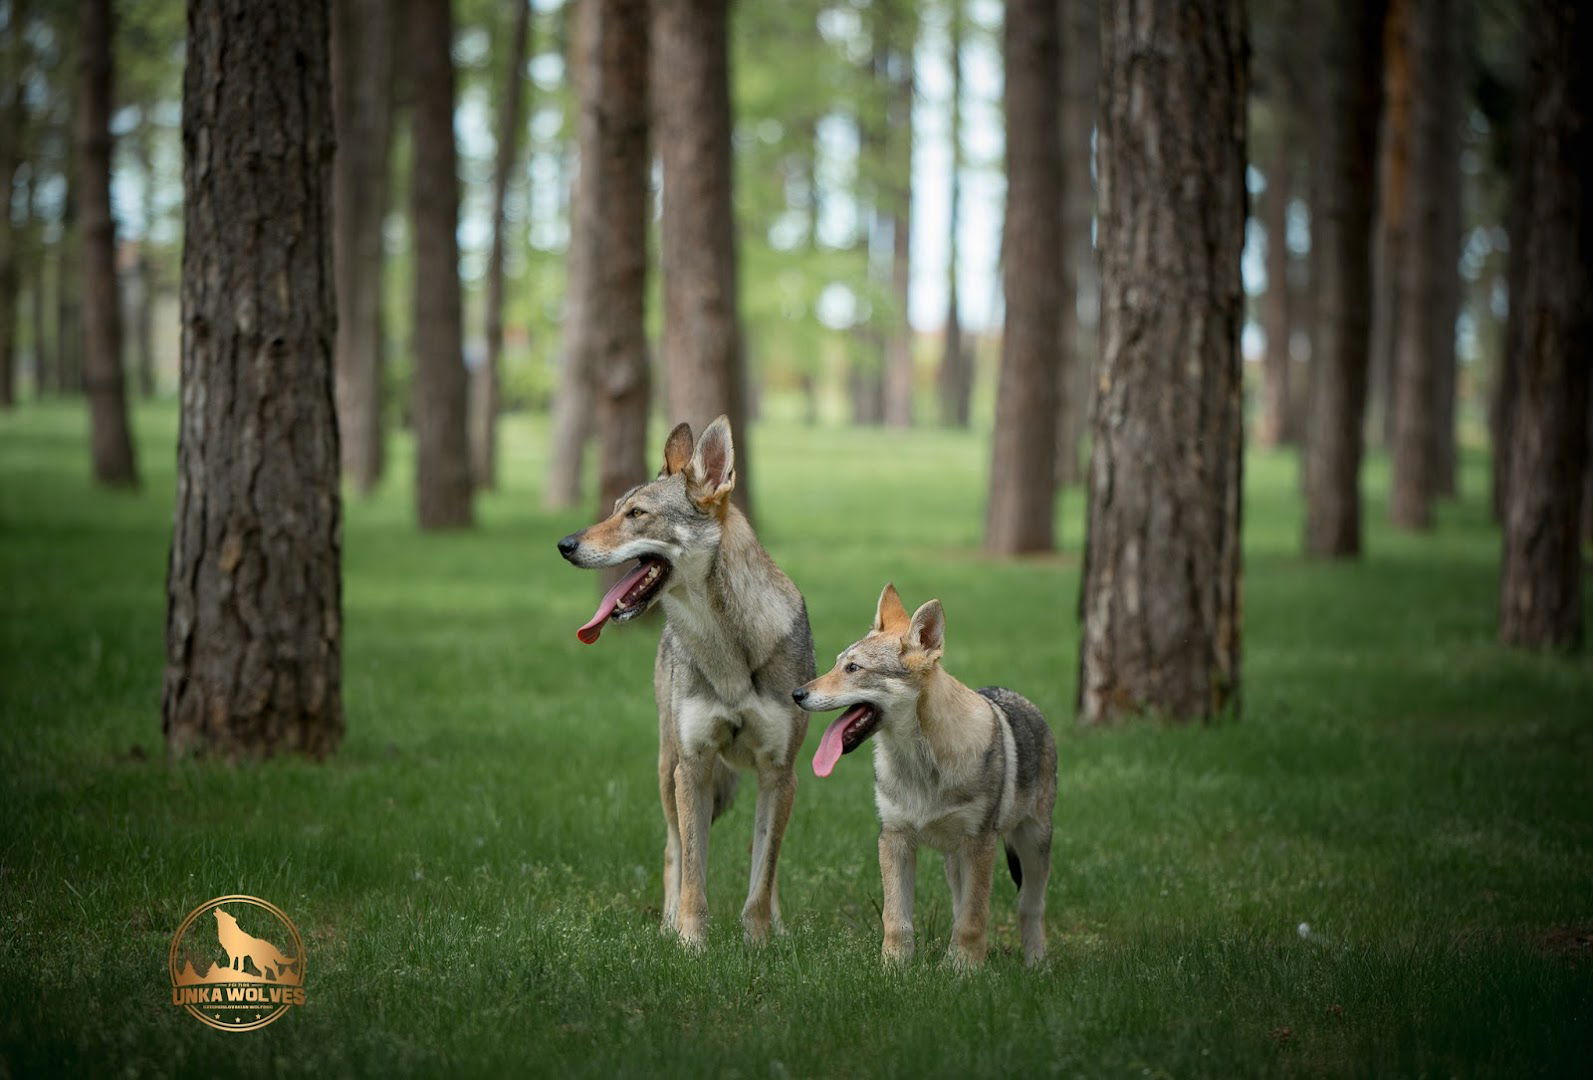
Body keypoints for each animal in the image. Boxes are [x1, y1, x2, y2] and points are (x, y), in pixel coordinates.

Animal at [557, 416, 815, 948]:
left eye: (637, 514)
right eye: (614, 509)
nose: (564, 545)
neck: (729, 651)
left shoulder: (780, 773)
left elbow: (762, 877)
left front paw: (759, 943)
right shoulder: (693, 766)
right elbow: (695, 873)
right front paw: (690, 944)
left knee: (766, 863)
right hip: (669, 768)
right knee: (673, 851)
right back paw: (667, 923)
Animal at [793, 584, 1057, 968]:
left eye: (854, 668)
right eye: (837, 663)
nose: (796, 693)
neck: (920, 766)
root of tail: (1021, 699)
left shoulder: (980, 844)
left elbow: (974, 919)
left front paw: (965, 970)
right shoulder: (894, 838)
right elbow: (896, 918)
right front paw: (894, 968)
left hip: (1031, 848)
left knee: (1029, 908)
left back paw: (1036, 965)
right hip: (955, 861)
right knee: (960, 905)